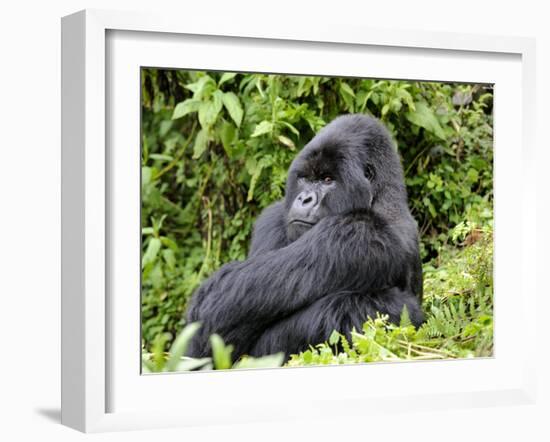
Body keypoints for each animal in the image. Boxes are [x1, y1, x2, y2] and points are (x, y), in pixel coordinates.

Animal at [188, 115, 424, 362]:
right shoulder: (274, 217)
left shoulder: (357, 233)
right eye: (305, 179)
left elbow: (219, 303)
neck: (383, 200)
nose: (305, 199)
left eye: (328, 179)